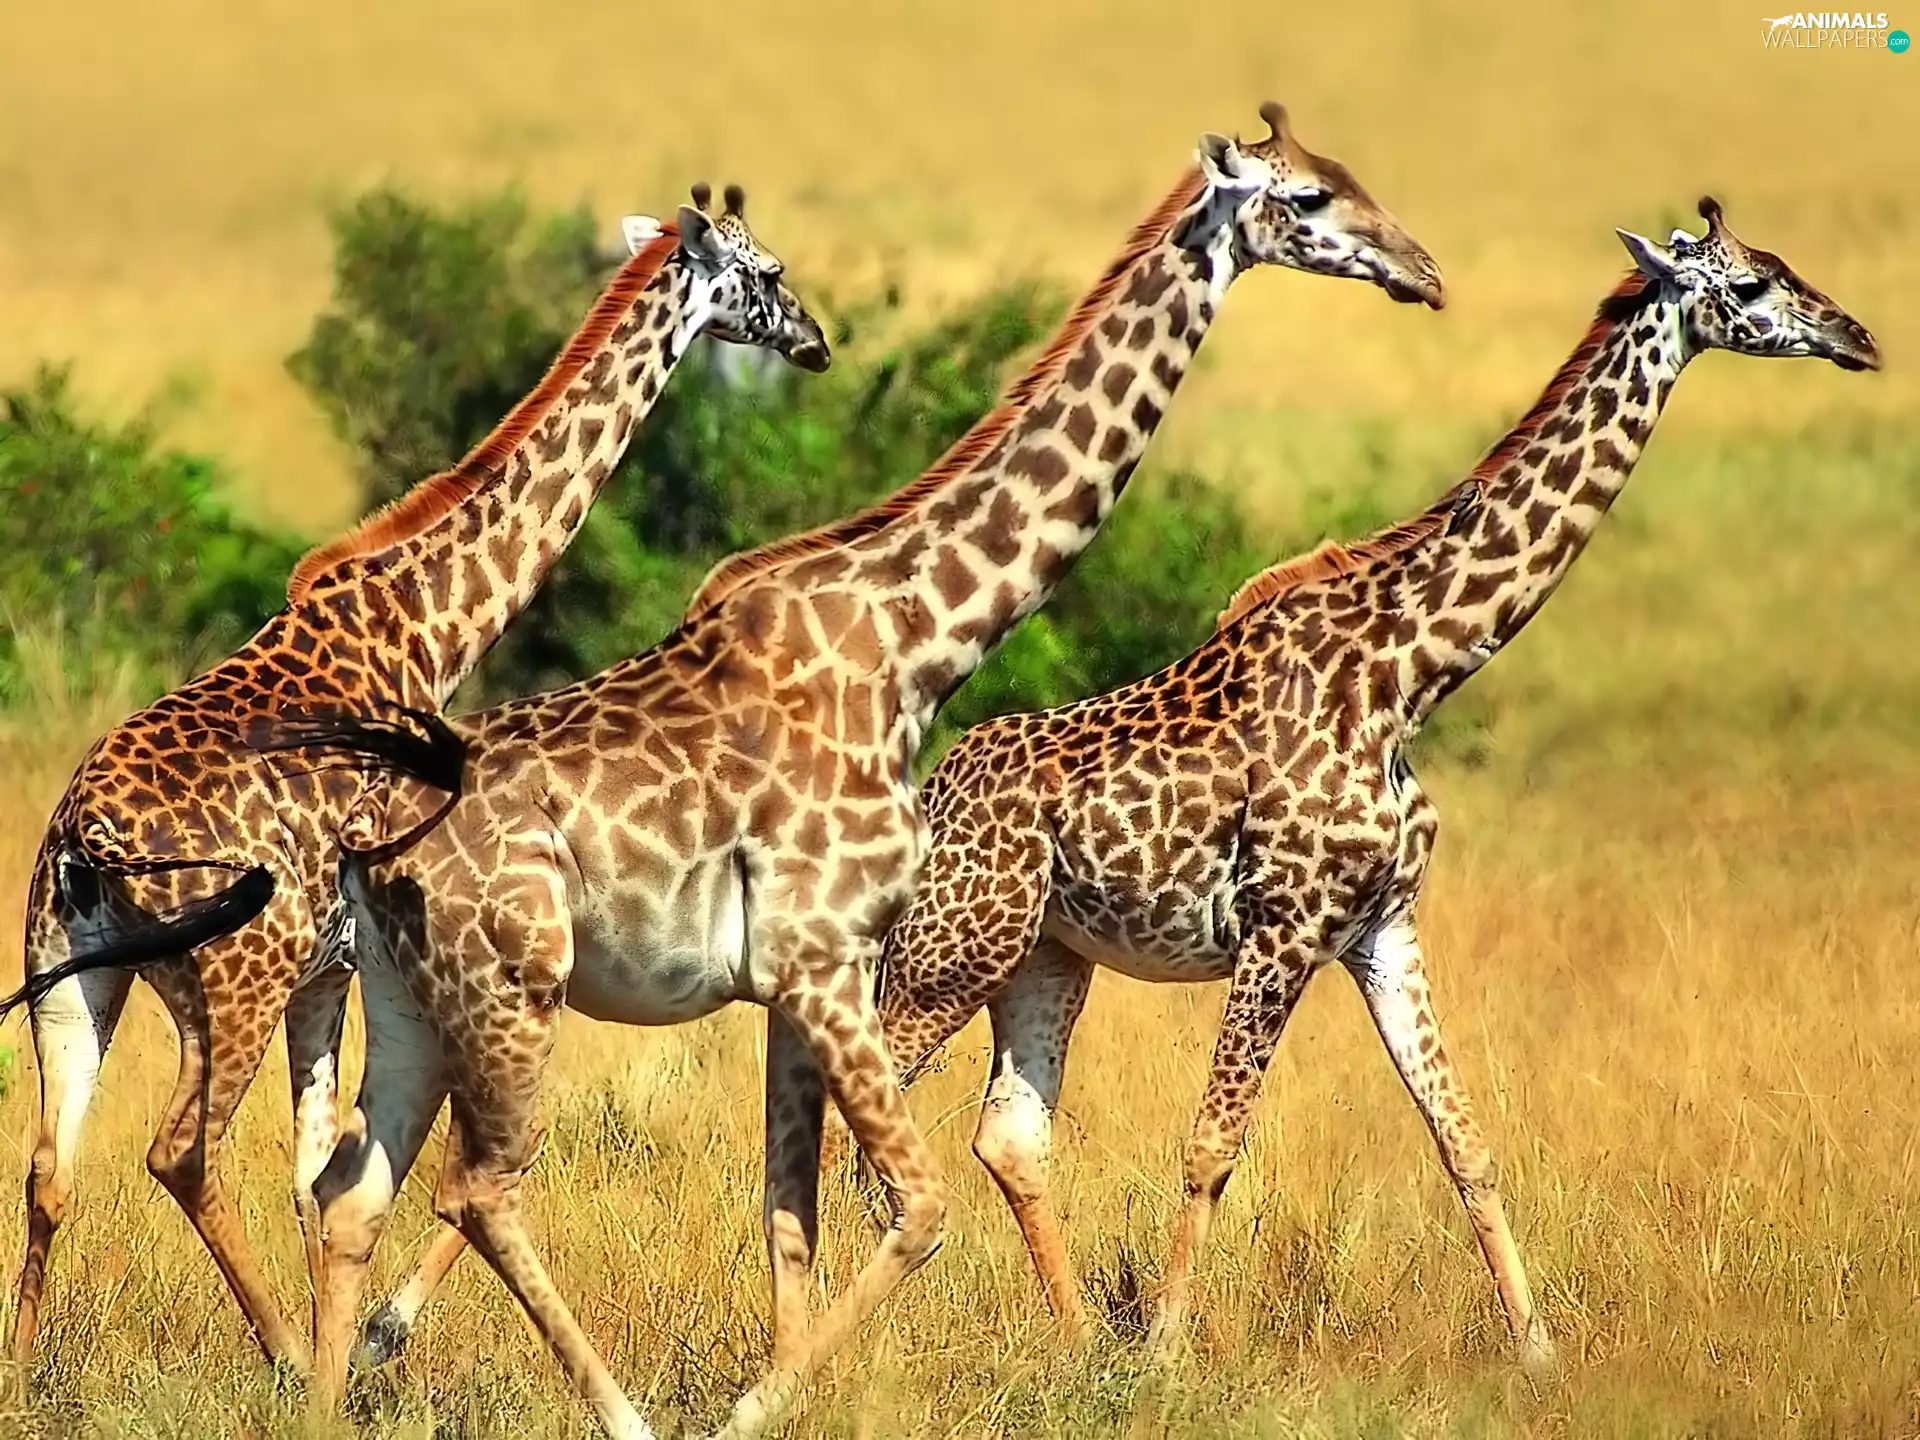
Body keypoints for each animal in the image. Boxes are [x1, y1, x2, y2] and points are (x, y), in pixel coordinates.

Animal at [2, 185, 830, 1377]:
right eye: (766, 275)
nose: (815, 342)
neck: (431, 623)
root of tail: (87, 841)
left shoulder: (330, 975)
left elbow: (316, 1175)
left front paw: (350, 1339)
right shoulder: (372, 959)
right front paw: (359, 1345)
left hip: (69, 977)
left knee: (49, 1167)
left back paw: (25, 1370)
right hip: (230, 980)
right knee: (178, 1152)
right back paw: (282, 1354)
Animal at [266, 104, 1446, 1439]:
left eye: (1350, 176)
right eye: (1306, 199)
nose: (1420, 271)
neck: (914, 641)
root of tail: (369, 848)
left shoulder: (791, 981)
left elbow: (793, 1211)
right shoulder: (827, 960)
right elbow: (917, 1207)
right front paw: (750, 1411)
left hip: (408, 1000)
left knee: (352, 1190)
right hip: (514, 989)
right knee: (477, 1189)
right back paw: (616, 1414)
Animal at [868, 197, 1880, 1366]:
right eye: (1749, 285)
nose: (1857, 336)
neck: (1407, 674)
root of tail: (932, 794)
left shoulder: (1383, 925)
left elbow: (1464, 1137)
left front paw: (1537, 1350)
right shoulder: (1282, 928)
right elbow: (1212, 1142)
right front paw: (1164, 1351)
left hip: (1042, 956)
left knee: (1008, 1134)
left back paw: (1073, 1343)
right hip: (952, 952)